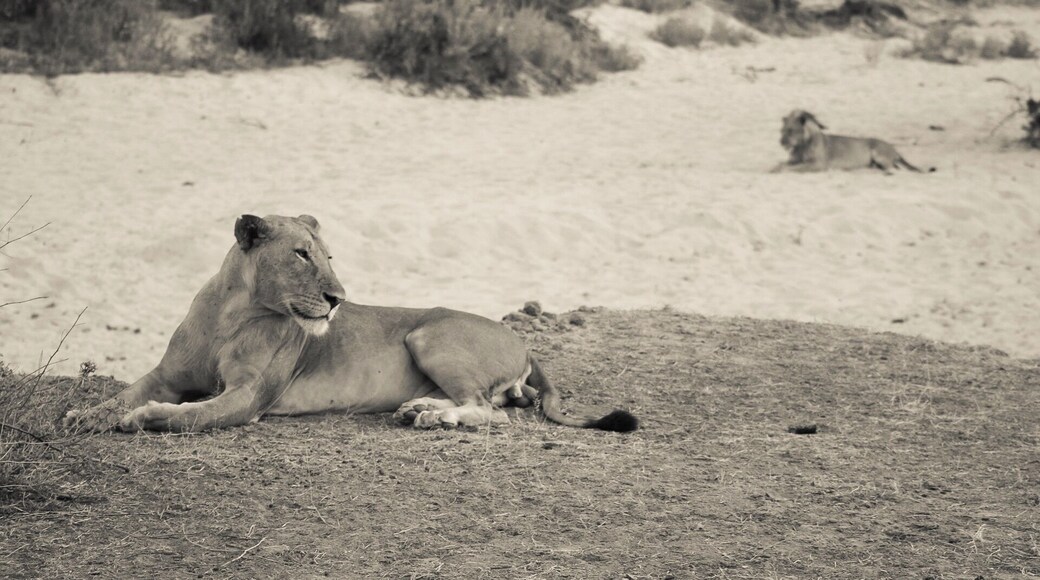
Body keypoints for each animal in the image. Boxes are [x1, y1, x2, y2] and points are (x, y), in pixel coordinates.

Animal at [63, 215, 638, 434]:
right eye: (302, 254)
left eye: (330, 256)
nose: (338, 299)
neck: (234, 313)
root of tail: (524, 343)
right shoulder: (166, 375)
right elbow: (121, 395)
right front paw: (83, 415)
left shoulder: (249, 398)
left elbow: (189, 414)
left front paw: (145, 418)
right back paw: (421, 408)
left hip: (428, 334)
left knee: (490, 411)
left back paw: (437, 419)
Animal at [773, 109, 934, 173]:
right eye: (782, 130)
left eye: (791, 130)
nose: (781, 142)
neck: (801, 146)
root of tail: (894, 148)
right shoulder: (794, 160)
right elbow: (780, 164)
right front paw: (772, 169)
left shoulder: (818, 165)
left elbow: (792, 168)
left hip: (878, 153)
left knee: (893, 169)